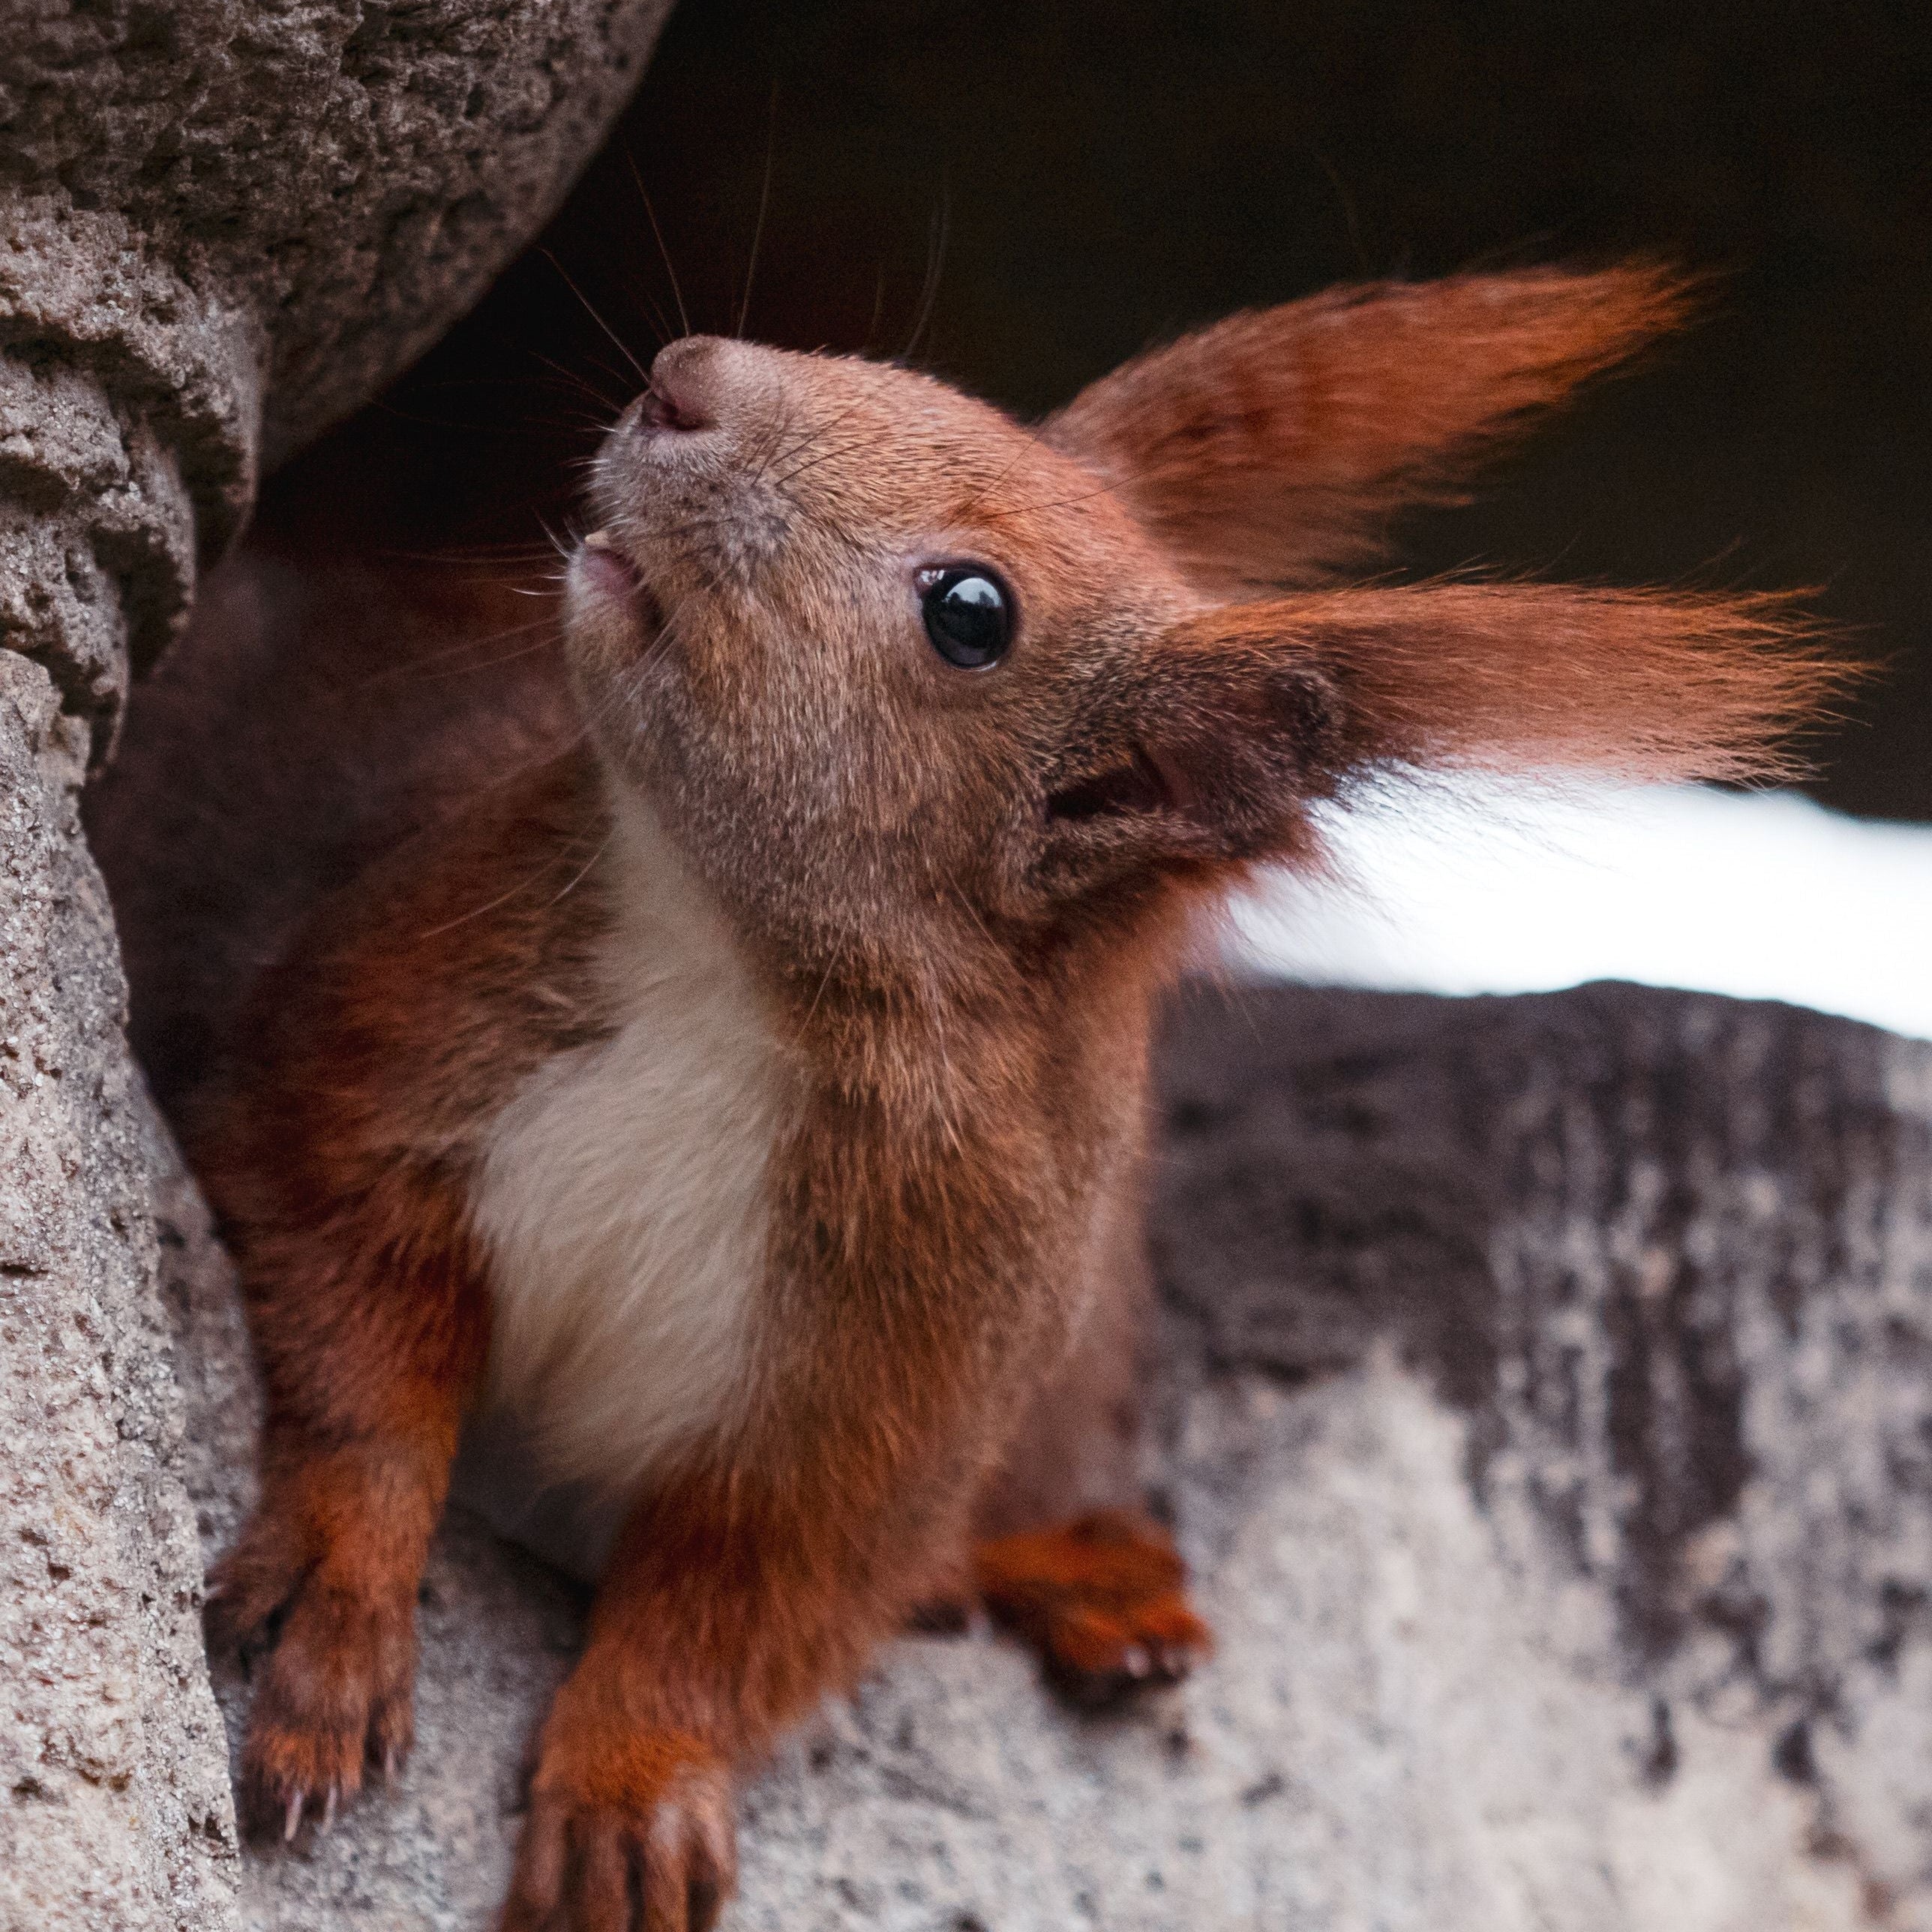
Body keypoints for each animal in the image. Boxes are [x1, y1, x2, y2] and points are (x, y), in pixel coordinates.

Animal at [91, 265, 1846, 1932]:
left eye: (971, 612)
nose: (685, 379)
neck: (730, 975)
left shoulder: (904, 1371)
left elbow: (749, 1604)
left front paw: (634, 1784)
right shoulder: (368, 1050)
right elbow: (356, 1338)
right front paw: (341, 1599)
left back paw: (1083, 1584)